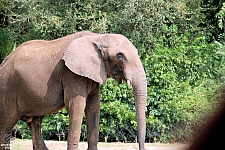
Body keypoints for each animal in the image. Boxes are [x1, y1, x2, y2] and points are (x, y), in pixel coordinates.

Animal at [0, 31, 148, 149]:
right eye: (120, 56)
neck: (98, 37)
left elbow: (94, 107)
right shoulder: (71, 74)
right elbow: (76, 106)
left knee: (35, 124)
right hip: (7, 89)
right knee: (6, 126)